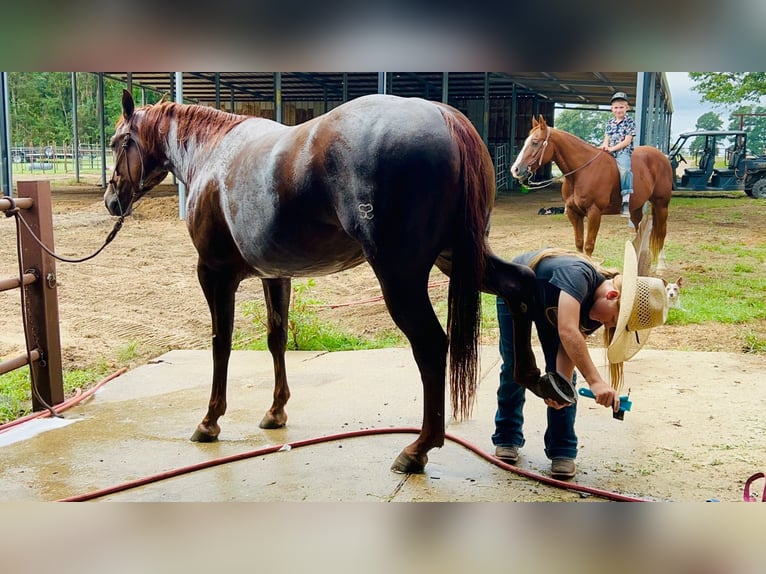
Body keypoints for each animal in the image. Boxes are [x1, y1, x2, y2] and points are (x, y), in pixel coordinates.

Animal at [105, 90, 544, 474]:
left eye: (117, 143)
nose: (112, 201)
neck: (214, 155)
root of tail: (444, 116)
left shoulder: (214, 274)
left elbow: (221, 344)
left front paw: (210, 421)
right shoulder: (276, 275)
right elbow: (276, 338)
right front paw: (275, 411)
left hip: (401, 277)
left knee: (432, 346)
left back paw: (417, 449)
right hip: (460, 258)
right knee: (520, 284)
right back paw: (536, 378)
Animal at [512, 115, 676, 264]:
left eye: (535, 142)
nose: (515, 169)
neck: (582, 171)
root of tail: (663, 157)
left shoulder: (594, 213)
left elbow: (589, 245)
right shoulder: (574, 213)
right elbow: (579, 243)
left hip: (661, 204)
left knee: (662, 231)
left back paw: (660, 265)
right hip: (636, 208)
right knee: (639, 230)